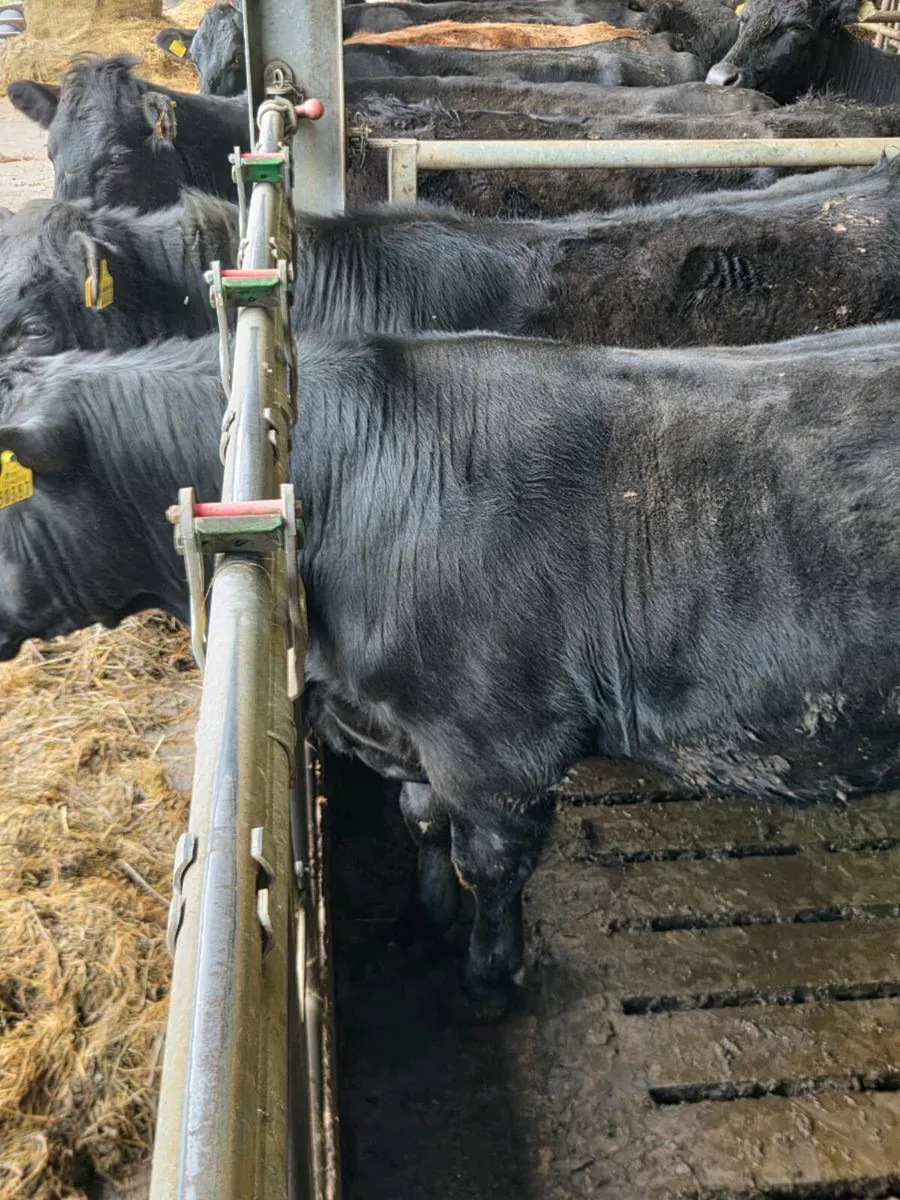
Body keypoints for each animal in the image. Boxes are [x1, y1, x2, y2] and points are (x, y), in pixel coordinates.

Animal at [3, 323, 900, 1014]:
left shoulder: (497, 744)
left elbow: (489, 867)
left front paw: (488, 979)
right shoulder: (407, 725)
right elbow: (421, 821)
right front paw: (419, 921)